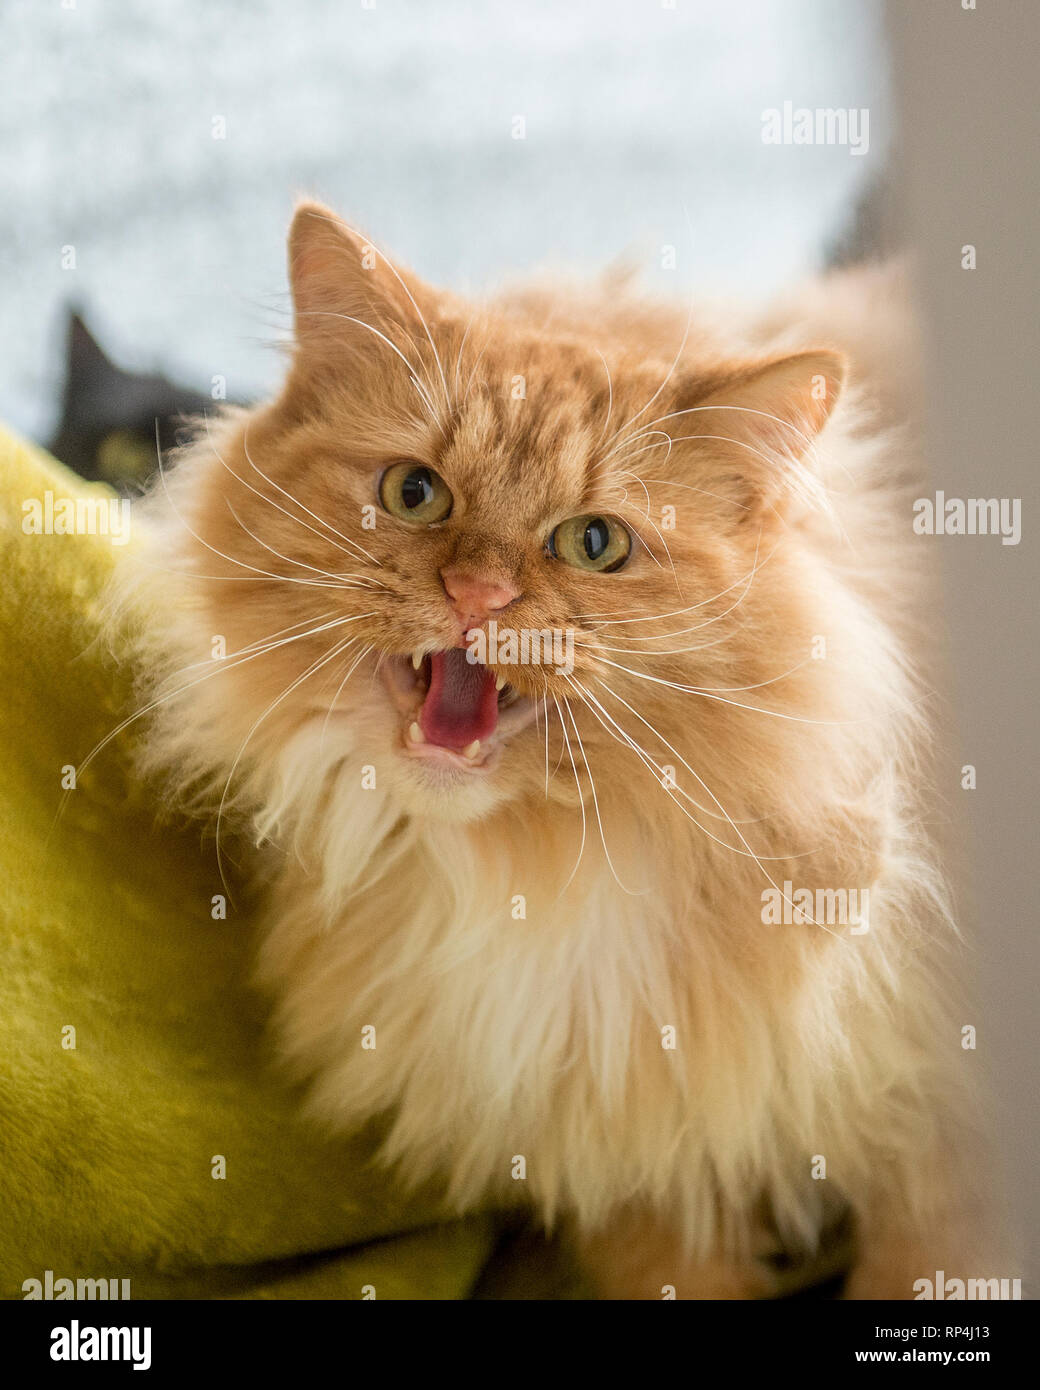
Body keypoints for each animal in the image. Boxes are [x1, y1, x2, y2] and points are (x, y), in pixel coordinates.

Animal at [117, 201, 1001, 1295]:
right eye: (414, 494)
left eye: (593, 545)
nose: (477, 595)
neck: (543, 887)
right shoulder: (631, 1174)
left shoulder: (945, 1159)